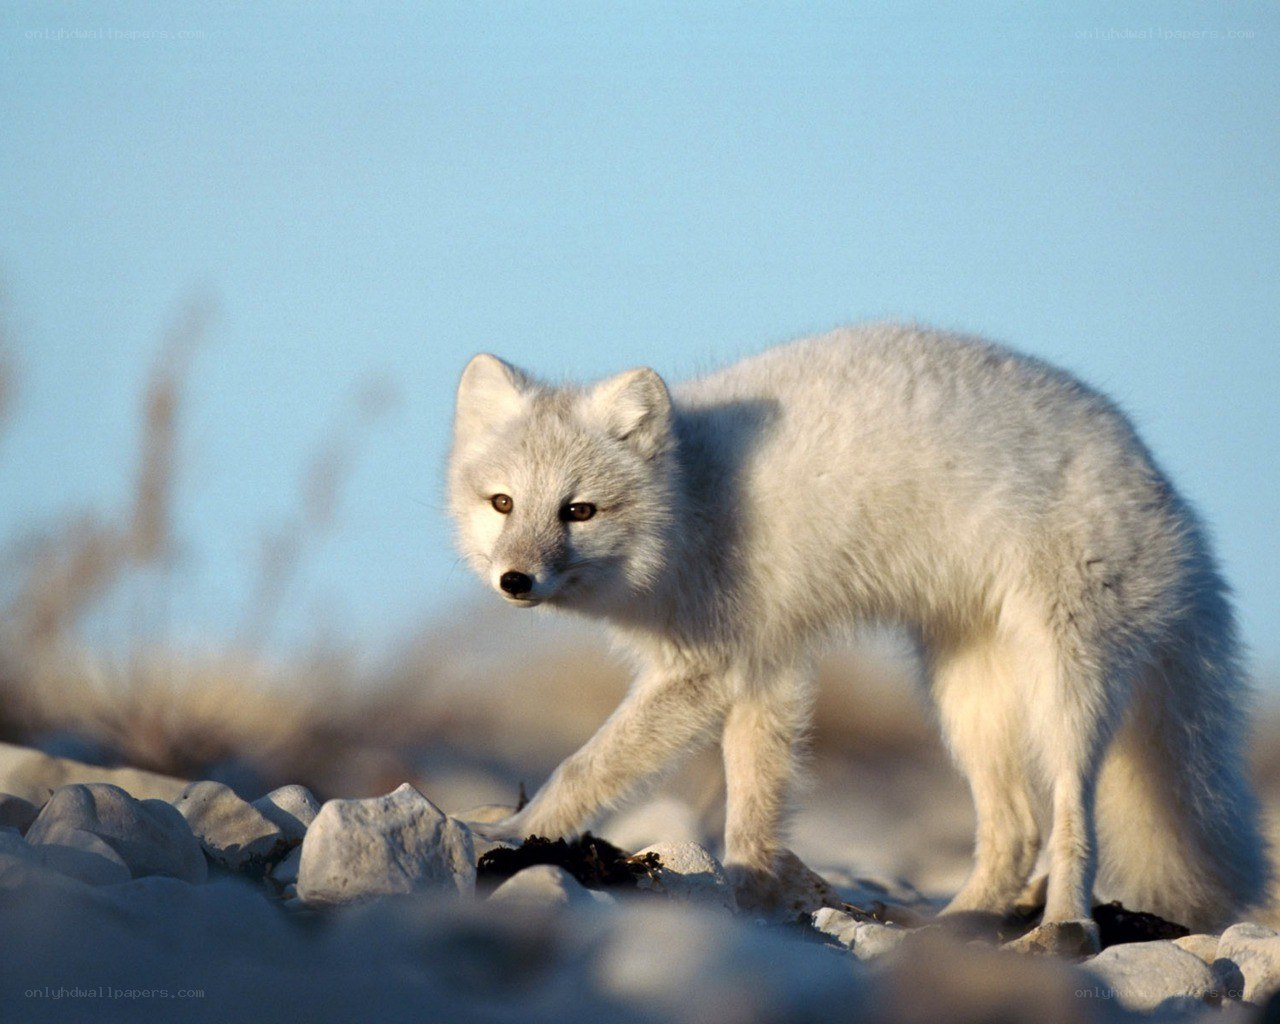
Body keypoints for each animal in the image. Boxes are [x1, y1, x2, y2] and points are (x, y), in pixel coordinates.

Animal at [447, 321, 1270, 947]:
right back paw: (953, 924)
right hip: (966, 699)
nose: (515, 581)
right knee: (1014, 831)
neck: (693, 500)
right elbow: (753, 808)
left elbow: (582, 767)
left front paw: (516, 831)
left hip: (1065, 686)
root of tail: (1165, 490)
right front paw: (751, 895)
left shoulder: (716, 670)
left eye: (578, 511)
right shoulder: (766, 670)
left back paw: (1064, 928)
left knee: (1070, 820)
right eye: (503, 503)